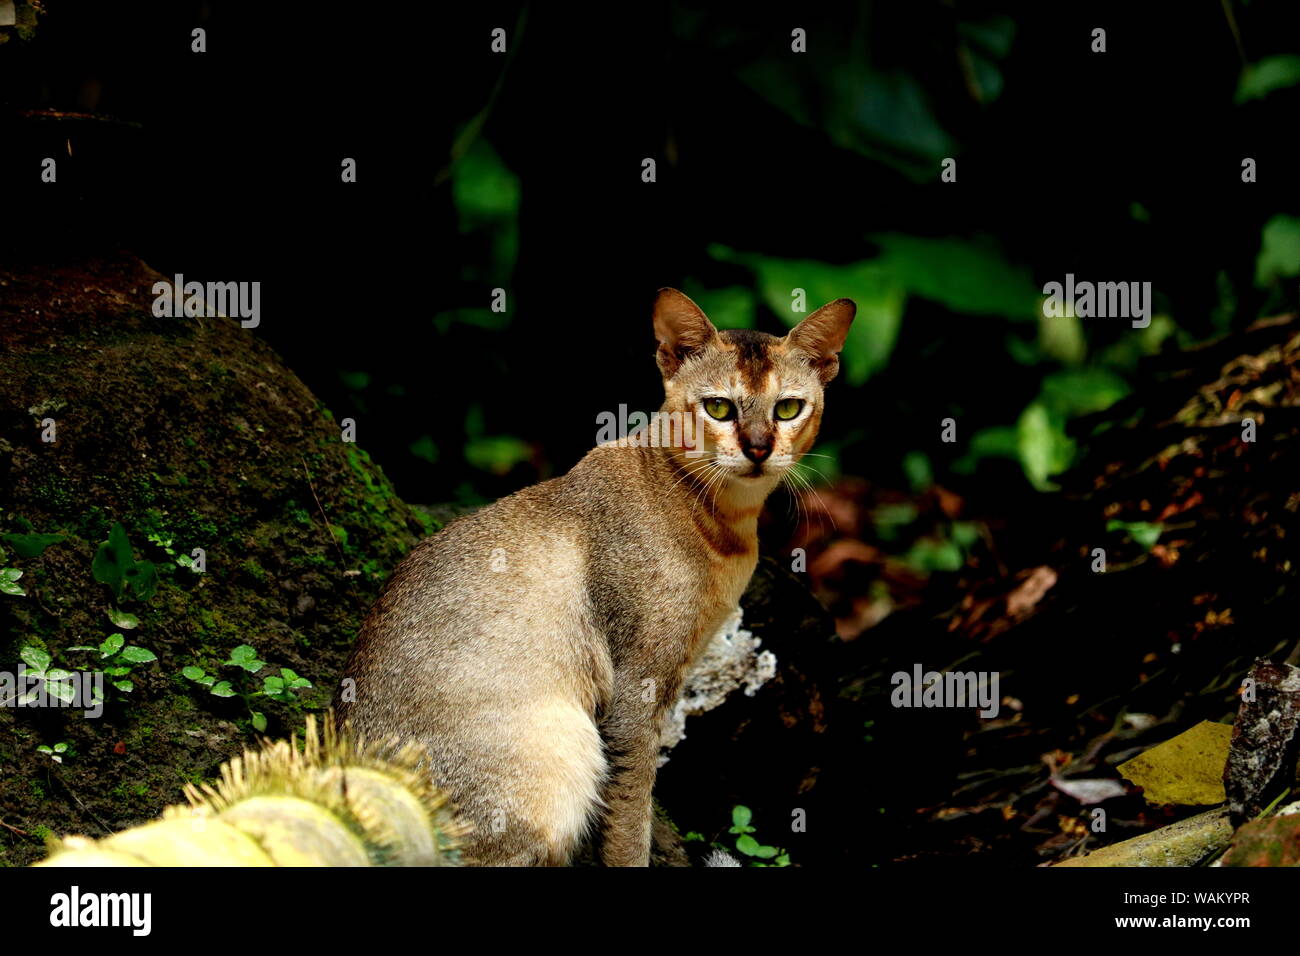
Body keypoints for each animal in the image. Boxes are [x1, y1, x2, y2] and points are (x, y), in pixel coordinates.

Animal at [335, 290, 852, 868]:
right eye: (719, 407)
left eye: (788, 408)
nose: (758, 448)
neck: (723, 526)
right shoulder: (636, 690)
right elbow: (630, 814)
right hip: (563, 754)